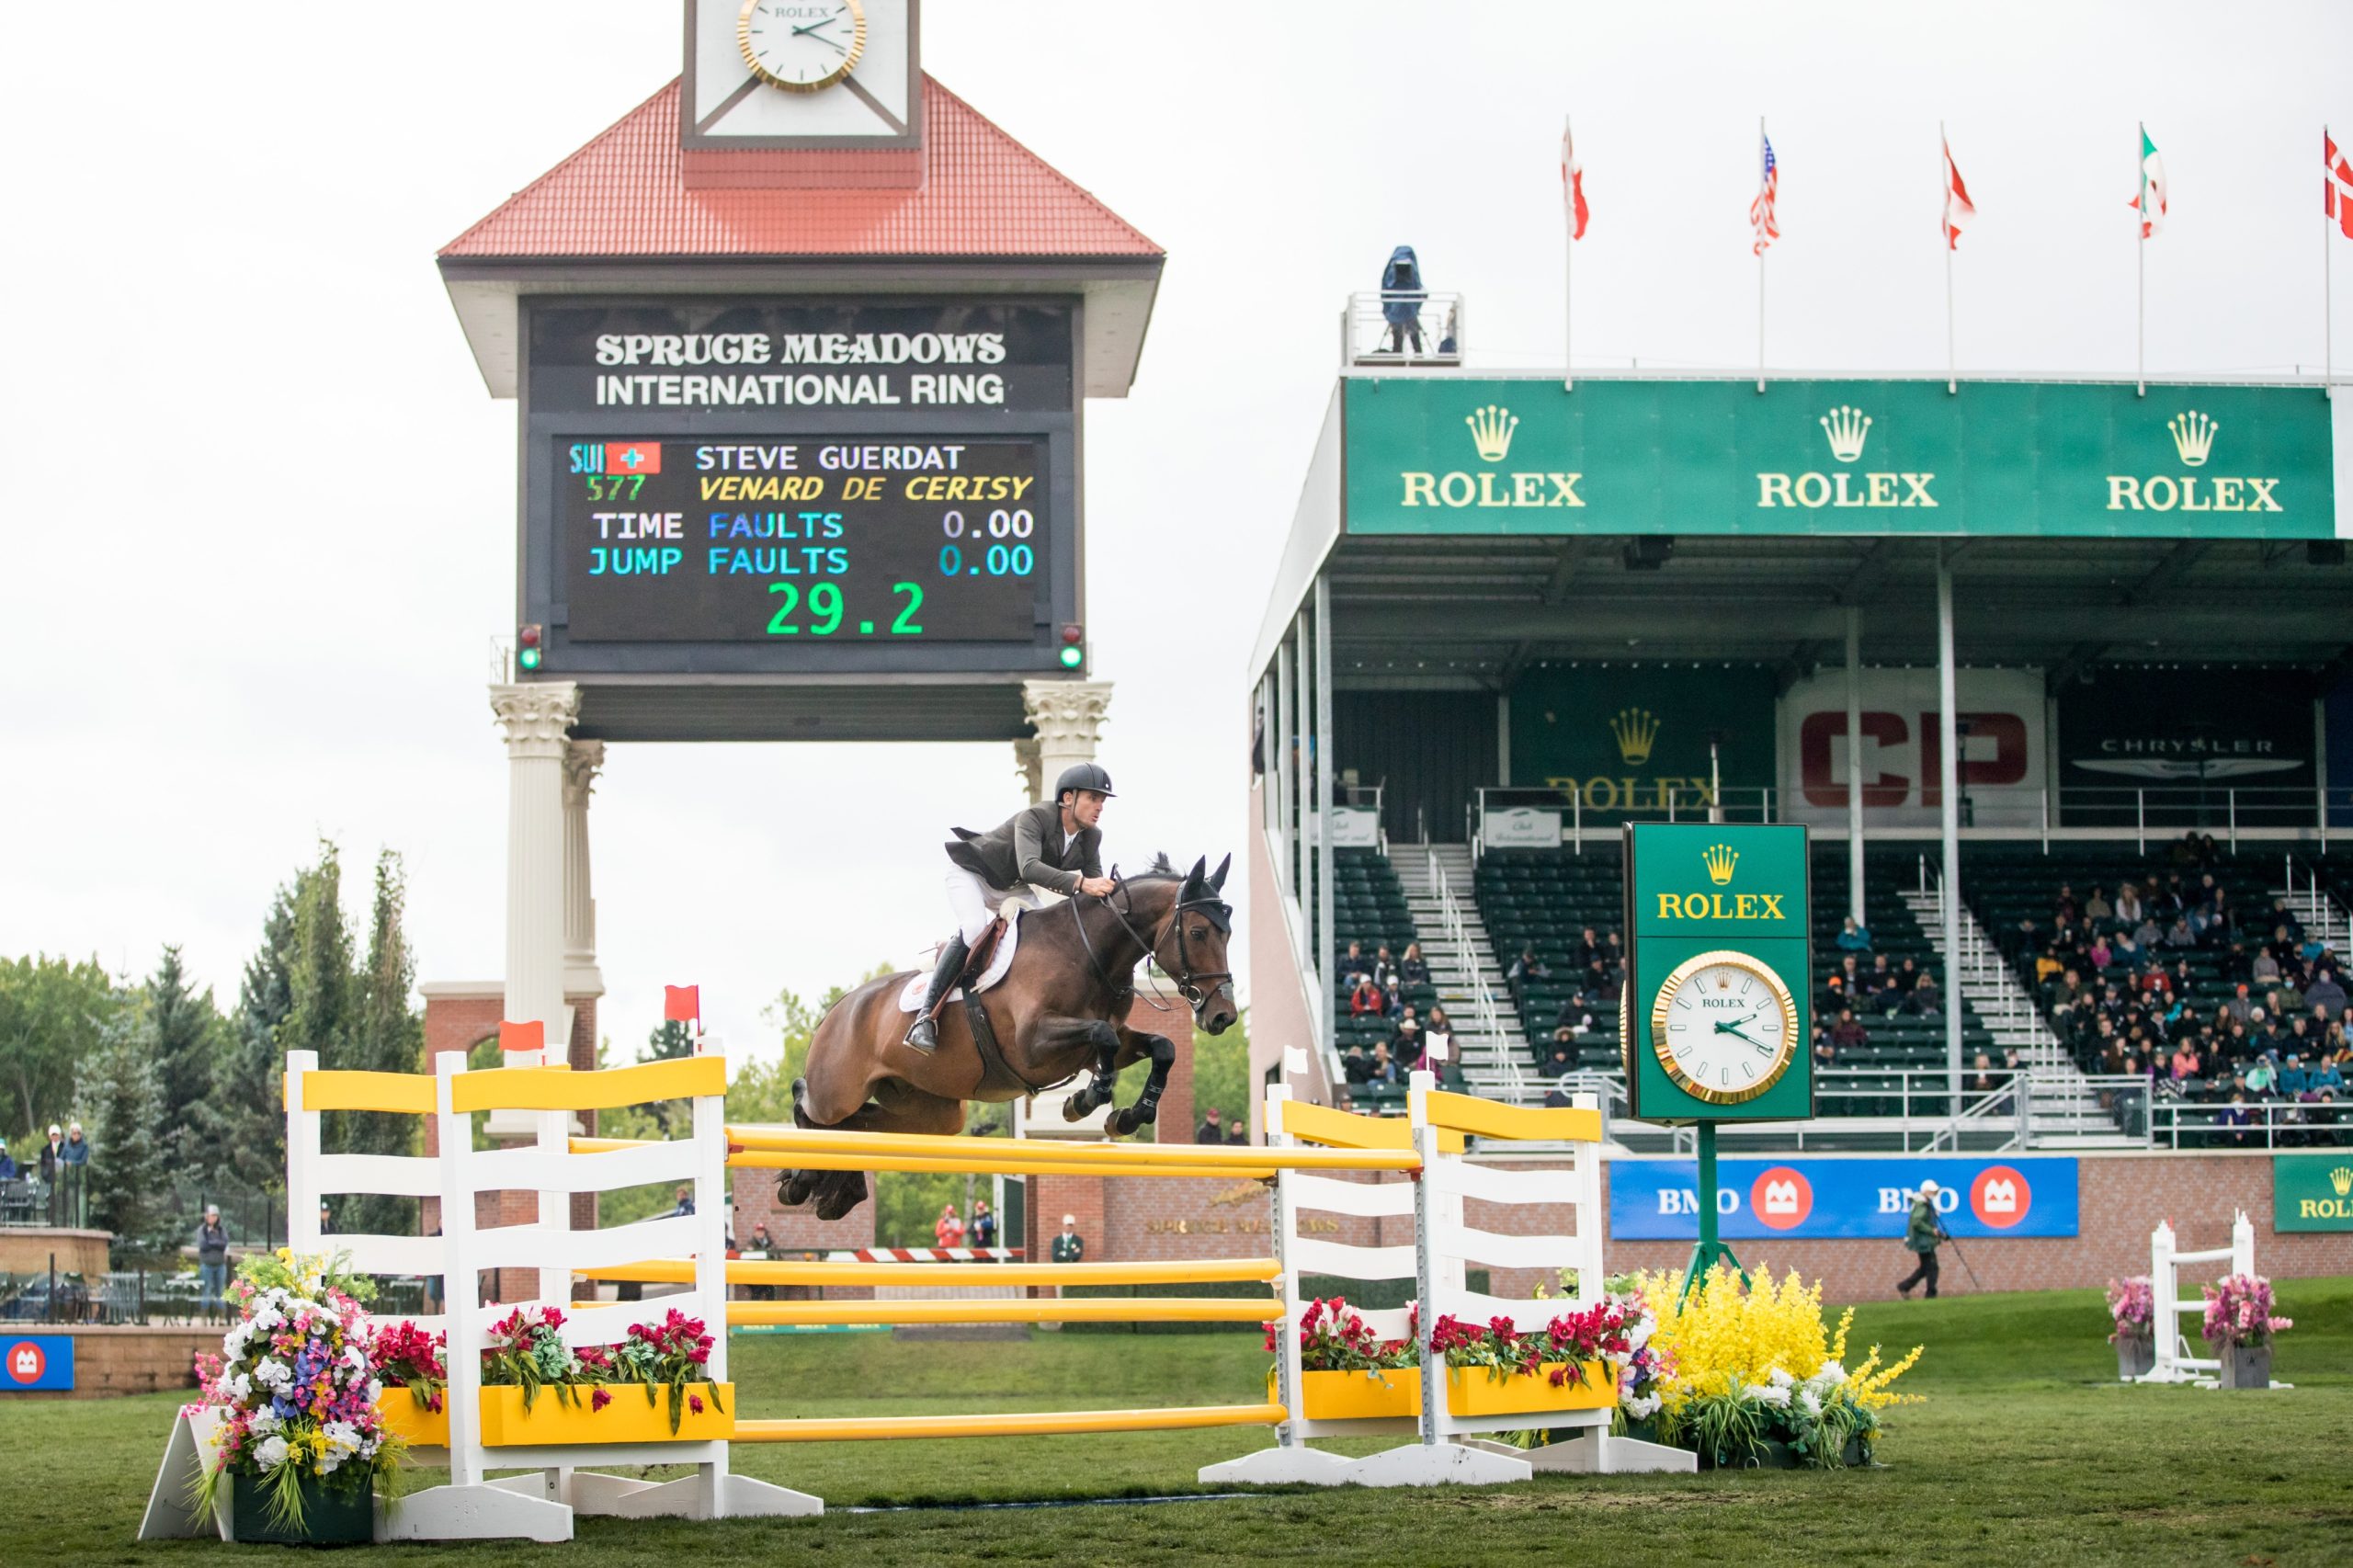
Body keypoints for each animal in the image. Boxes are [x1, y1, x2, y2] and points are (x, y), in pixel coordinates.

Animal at [776, 847, 1251, 1214]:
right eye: (1197, 932)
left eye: (1228, 933)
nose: (1223, 1016)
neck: (1088, 953)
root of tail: (838, 1008)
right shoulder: (1033, 1046)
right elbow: (1104, 1036)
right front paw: (1083, 1101)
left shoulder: (1092, 1044)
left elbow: (1161, 1046)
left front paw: (1128, 1116)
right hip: (837, 1091)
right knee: (807, 1102)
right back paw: (799, 1179)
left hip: (931, 1112)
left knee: (858, 1126)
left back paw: (840, 1191)